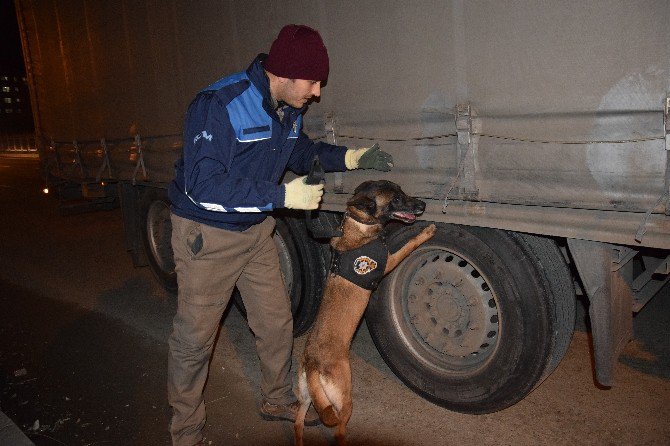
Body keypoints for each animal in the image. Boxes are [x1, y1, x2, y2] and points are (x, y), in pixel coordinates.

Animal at [294, 181, 436, 446]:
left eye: (403, 192)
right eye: (396, 199)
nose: (423, 204)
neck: (358, 223)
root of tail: (313, 364)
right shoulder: (390, 260)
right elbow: (409, 245)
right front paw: (426, 233)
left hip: (307, 398)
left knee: (298, 423)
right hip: (344, 399)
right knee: (338, 429)